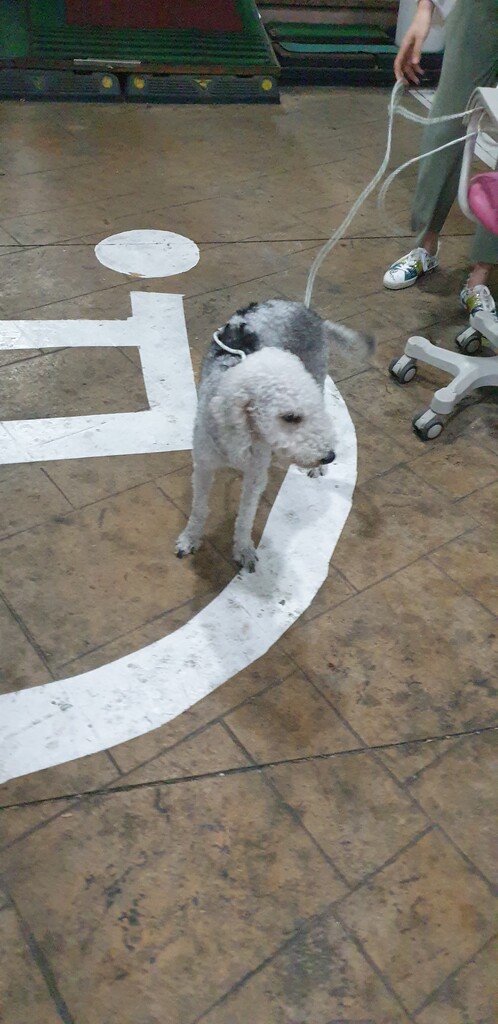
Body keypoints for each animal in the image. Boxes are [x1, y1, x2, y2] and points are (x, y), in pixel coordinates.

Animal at [176, 299, 371, 572]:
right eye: (289, 417)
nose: (329, 457)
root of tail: (307, 311)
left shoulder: (256, 475)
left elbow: (245, 516)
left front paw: (243, 549)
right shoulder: (204, 466)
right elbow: (199, 508)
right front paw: (190, 538)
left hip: (318, 374)